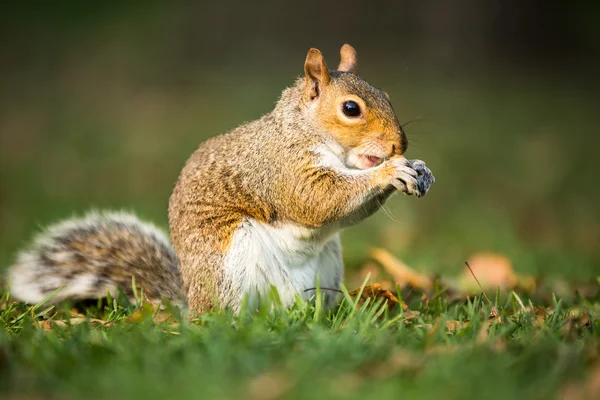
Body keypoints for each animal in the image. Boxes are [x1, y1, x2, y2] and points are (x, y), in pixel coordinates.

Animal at [5, 45, 436, 314]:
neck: (303, 129)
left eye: (387, 95)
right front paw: (390, 171)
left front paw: (418, 167)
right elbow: (317, 199)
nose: (399, 144)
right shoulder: (281, 167)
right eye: (350, 109)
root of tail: (191, 301)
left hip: (327, 266)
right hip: (230, 264)